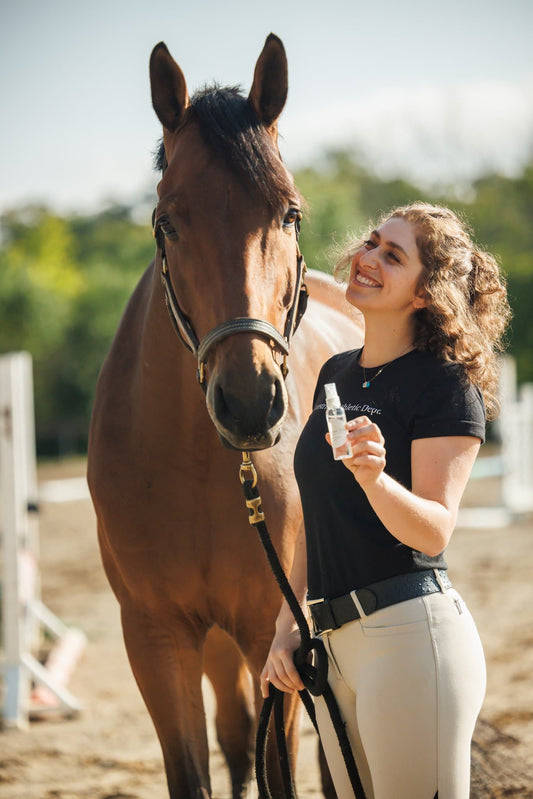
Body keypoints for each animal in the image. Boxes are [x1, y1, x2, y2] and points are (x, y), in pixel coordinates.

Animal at [87, 32, 364, 799]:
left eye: (289, 213)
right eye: (167, 220)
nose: (249, 401)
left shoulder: (274, 636)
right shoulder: (157, 638)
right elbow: (200, 769)